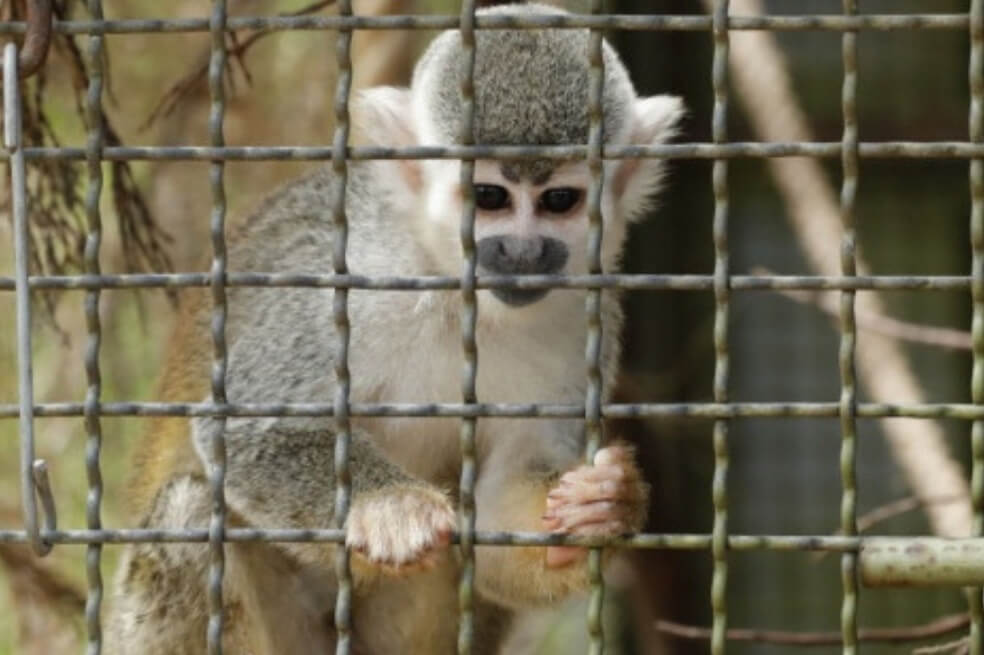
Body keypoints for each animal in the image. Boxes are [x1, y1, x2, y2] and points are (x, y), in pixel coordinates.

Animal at [105, 4, 684, 653]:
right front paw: (389, 505)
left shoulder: (584, 315)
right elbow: (245, 429)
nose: (523, 252)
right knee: (189, 511)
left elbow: (498, 516)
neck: (456, 294)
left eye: (559, 200)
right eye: (490, 196)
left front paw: (605, 506)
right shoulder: (347, 276)